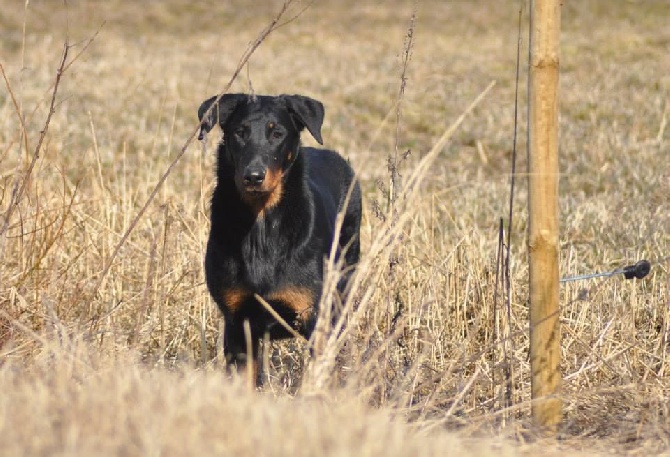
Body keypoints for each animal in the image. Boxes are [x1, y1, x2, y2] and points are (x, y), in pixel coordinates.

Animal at [197, 92, 360, 382]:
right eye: (240, 132)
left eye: (277, 134)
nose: (253, 176)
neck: (261, 226)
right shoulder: (238, 325)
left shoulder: (315, 319)